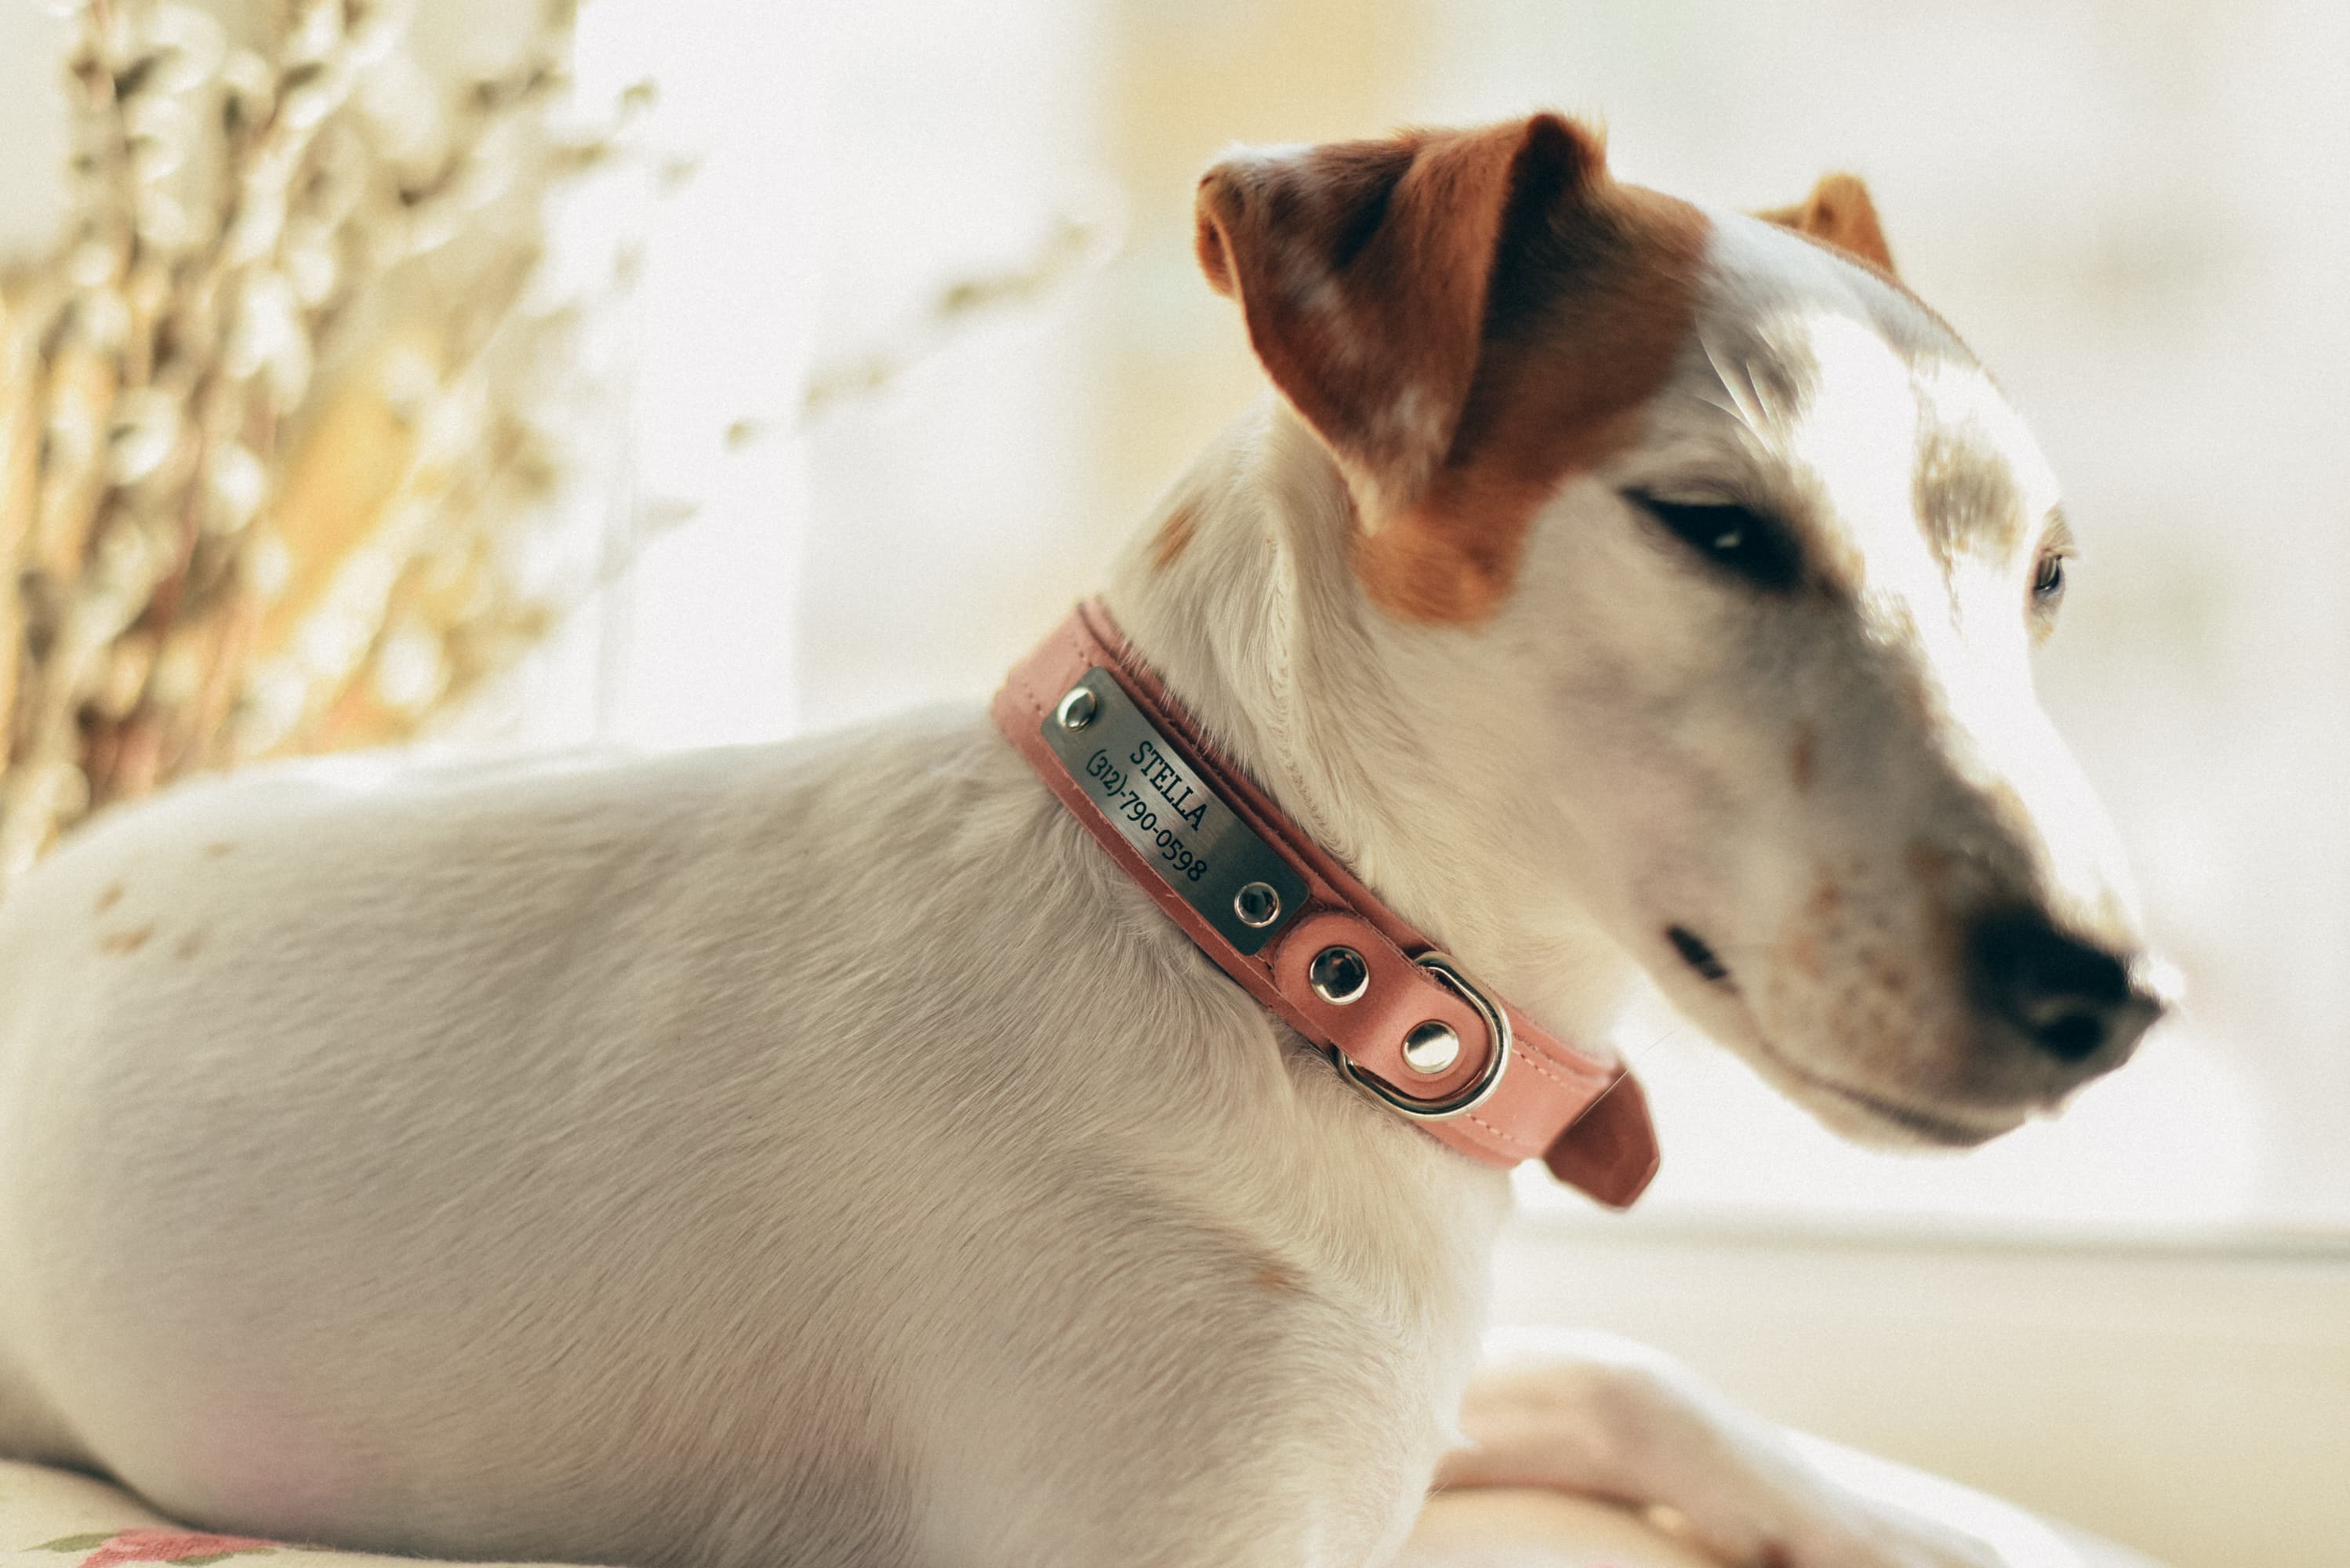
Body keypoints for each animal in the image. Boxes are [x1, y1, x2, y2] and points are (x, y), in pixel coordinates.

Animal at [0, 113, 2162, 1568]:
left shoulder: (1384, 1410)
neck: (1273, 928)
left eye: (2047, 577)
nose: (2115, 992)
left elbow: (1643, 1370)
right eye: (1716, 527)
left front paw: (1942, 1524)